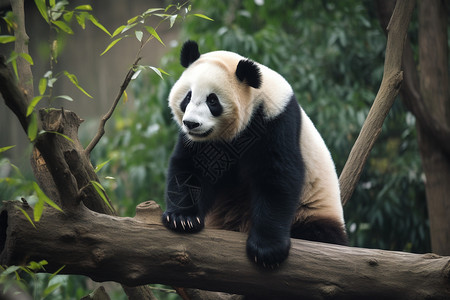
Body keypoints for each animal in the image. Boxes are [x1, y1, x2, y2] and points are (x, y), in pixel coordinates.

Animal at [163, 39, 348, 268]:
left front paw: (267, 250)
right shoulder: (200, 143)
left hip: (312, 210)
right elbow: (190, 168)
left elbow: (278, 175)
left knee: (318, 233)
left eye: (212, 101)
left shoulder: (276, 120)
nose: (191, 124)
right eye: (187, 97)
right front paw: (183, 218)